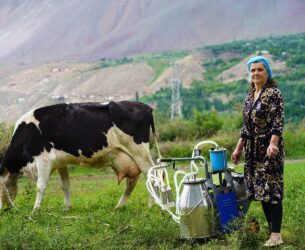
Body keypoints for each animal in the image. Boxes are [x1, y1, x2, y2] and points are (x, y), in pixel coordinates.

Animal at [0, 100, 160, 212]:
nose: (5, 211)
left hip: (139, 151)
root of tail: (145, 107)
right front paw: (67, 208)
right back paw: (119, 206)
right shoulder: (60, 162)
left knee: (153, 175)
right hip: (130, 156)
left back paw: (152, 205)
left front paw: (35, 211)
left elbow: (40, 186)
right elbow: (65, 185)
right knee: (133, 181)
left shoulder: (44, 160)